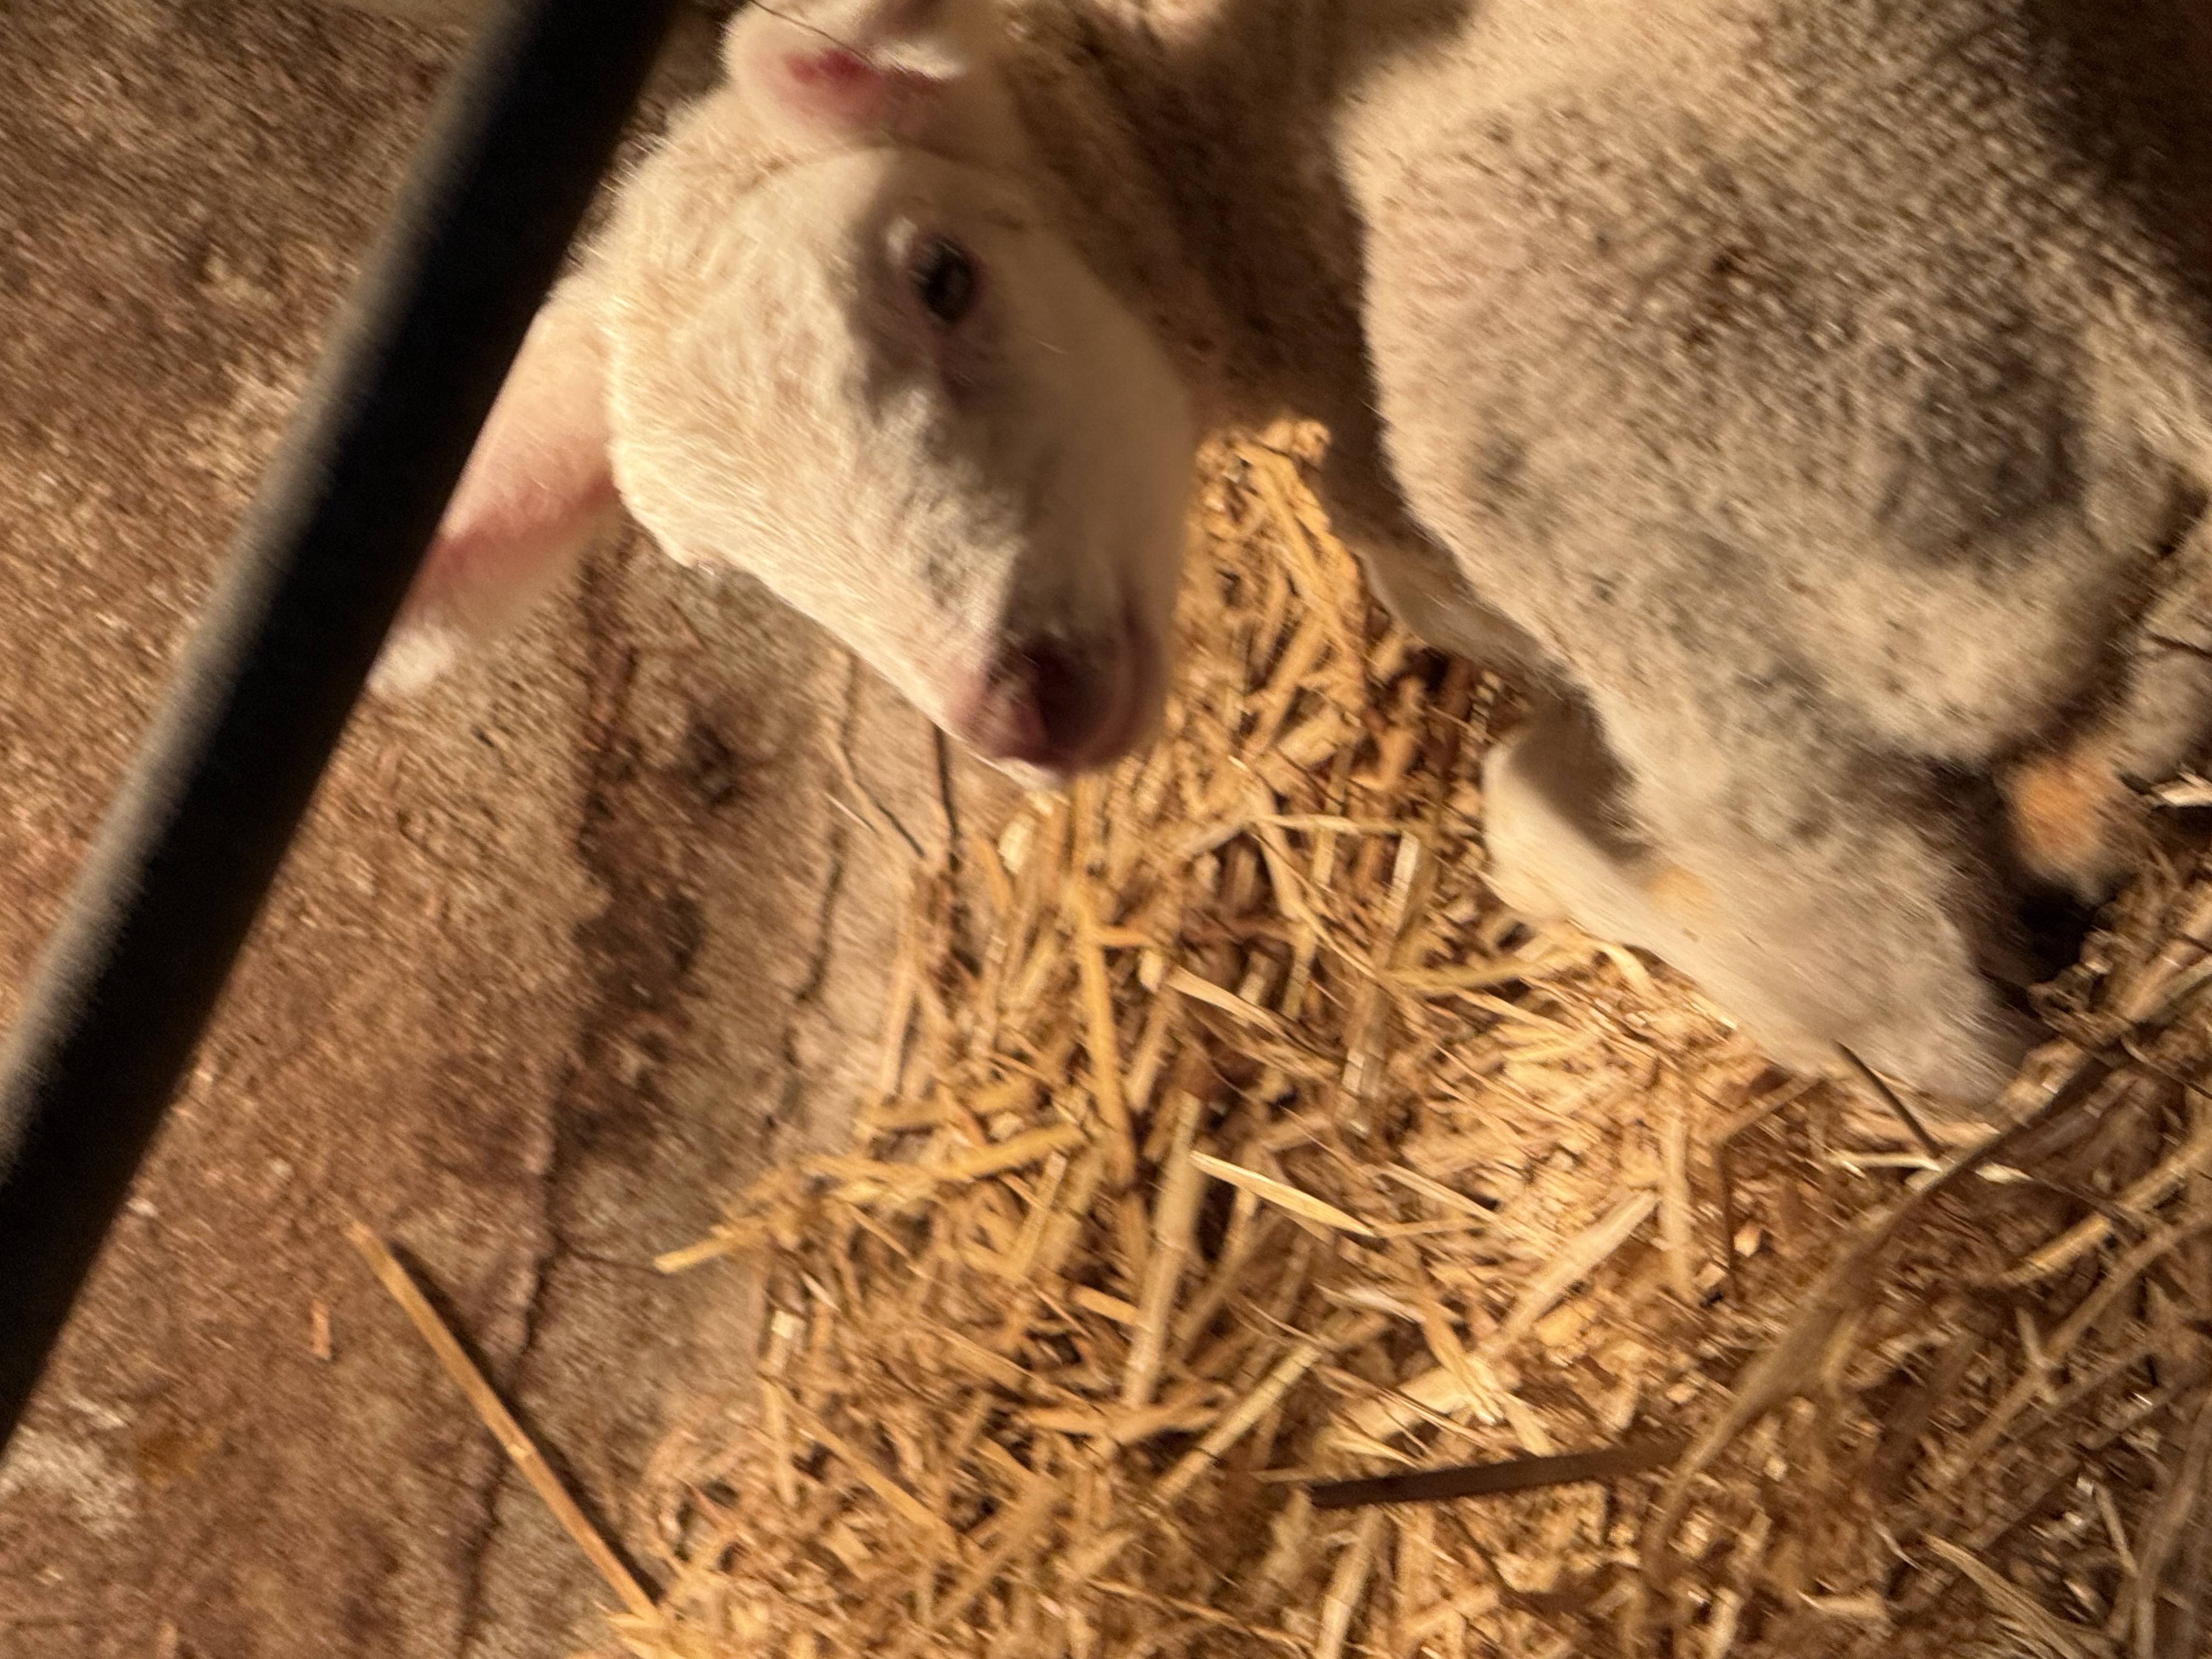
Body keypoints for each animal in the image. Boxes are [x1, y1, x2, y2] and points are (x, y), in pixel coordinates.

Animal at [378, 0, 2212, 1108]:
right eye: (725, 569)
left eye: (944, 274)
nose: (1016, 707)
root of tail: (2142, 323)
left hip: (1557, 308)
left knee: (1905, 996)